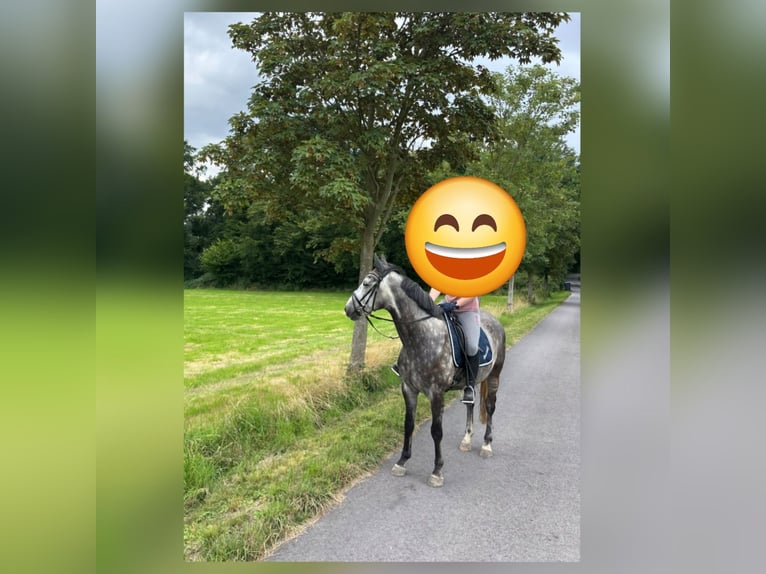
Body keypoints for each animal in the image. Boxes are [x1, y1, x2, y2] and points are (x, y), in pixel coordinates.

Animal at [346, 258, 504, 488]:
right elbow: (408, 424)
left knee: (490, 407)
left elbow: (436, 431)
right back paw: (466, 440)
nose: (348, 308)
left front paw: (437, 471)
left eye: (366, 284)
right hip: (472, 381)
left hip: (494, 376)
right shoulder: (409, 388)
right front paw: (402, 461)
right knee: (471, 404)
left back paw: (486, 445)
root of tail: (495, 322)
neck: (421, 337)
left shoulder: (435, 393)